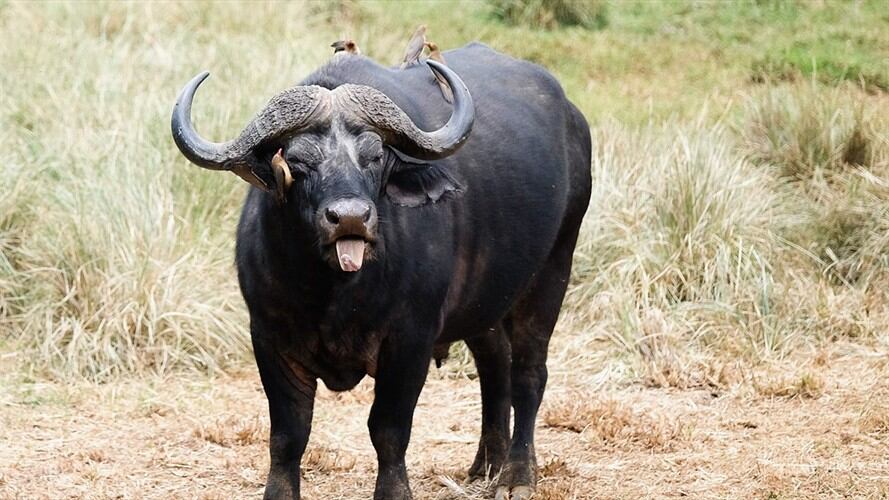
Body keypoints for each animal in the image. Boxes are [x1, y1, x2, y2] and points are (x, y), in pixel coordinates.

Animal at [171, 42, 591, 499]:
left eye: (374, 157)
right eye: (298, 162)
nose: (350, 218)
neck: (333, 293)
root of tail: (573, 119)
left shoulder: (410, 340)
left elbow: (388, 430)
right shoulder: (268, 336)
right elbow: (288, 434)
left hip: (553, 269)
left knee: (529, 373)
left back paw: (517, 476)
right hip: (486, 299)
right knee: (494, 361)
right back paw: (487, 465)